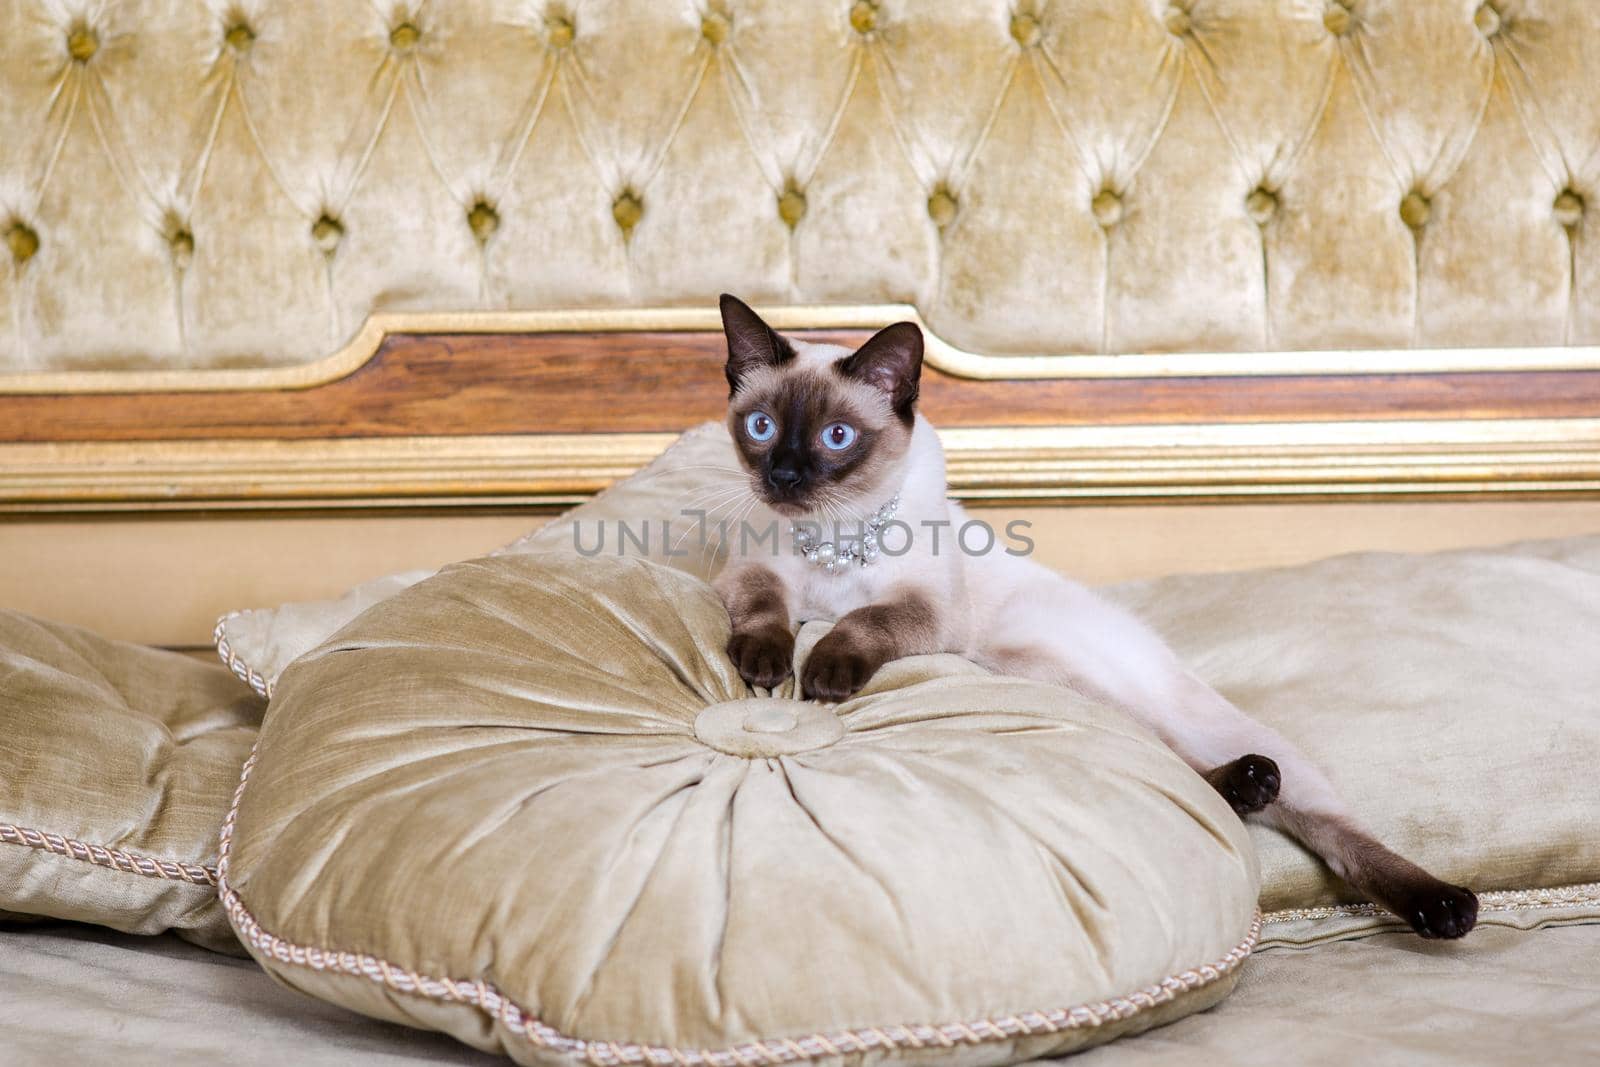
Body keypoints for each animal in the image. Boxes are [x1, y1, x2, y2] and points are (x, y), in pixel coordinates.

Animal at [720, 289, 1478, 934]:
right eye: (761, 427)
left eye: (837, 438)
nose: (783, 476)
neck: (834, 543)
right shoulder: (747, 574)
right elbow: (764, 614)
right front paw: (764, 665)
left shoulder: (926, 611)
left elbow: (861, 623)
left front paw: (823, 673)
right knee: (1216, 783)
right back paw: (1261, 795)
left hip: (1049, 671)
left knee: (1312, 821)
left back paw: (1443, 905)